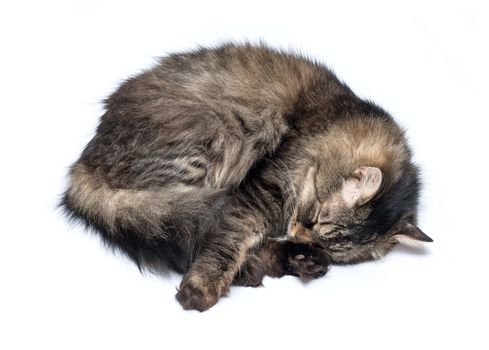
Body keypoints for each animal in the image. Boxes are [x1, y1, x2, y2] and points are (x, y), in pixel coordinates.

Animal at [61, 43, 430, 312]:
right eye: (313, 220)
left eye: (322, 241)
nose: (299, 237)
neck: (334, 124)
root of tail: (84, 164)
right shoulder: (264, 187)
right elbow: (229, 239)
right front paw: (202, 286)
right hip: (215, 135)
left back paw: (295, 263)